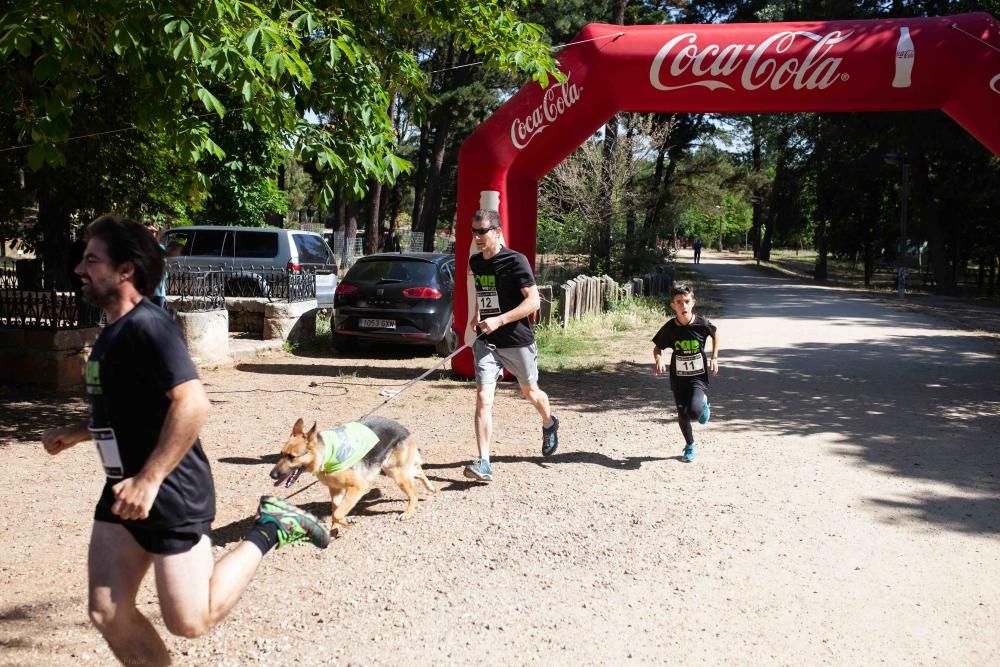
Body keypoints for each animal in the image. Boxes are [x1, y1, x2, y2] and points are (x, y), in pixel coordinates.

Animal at [270, 418, 438, 532]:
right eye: (281, 454)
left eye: (292, 457)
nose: (272, 475)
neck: (325, 454)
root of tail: (404, 429)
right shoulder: (336, 490)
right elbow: (335, 510)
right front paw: (336, 528)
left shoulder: (358, 486)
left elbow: (337, 513)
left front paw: (345, 522)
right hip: (391, 469)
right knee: (418, 471)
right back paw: (431, 487)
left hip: (396, 474)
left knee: (414, 494)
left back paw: (408, 512)